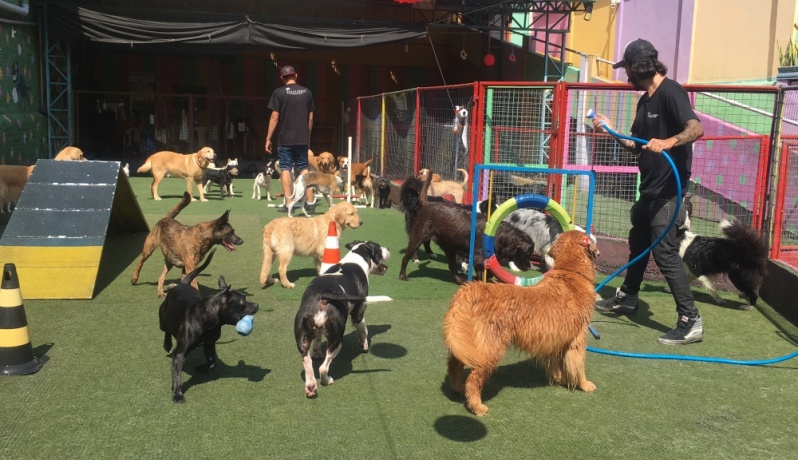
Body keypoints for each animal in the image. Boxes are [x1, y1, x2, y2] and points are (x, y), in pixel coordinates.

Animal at [160, 250, 262, 404]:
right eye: (242, 303)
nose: (257, 305)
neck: (208, 318)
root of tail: (182, 283)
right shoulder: (179, 353)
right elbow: (177, 374)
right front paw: (177, 394)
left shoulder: (209, 343)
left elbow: (212, 362)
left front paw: (202, 367)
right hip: (163, 317)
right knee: (165, 329)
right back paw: (167, 344)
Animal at [296, 239, 390, 398]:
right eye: (378, 247)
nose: (388, 248)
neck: (356, 258)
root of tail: (323, 296)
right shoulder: (359, 312)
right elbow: (363, 330)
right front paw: (364, 346)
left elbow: (317, 340)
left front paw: (317, 352)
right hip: (337, 340)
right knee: (323, 368)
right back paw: (327, 380)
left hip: (303, 340)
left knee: (308, 362)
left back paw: (311, 387)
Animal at [444, 230, 600, 416]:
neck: (570, 271)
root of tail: (473, 289)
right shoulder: (578, 339)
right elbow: (578, 366)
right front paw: (584, 384)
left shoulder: (556, 340)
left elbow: (556, 364)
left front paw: (558, 379)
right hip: (490, 349)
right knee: (473, 378)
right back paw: (477, 406)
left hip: (465, 342)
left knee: (454, 364)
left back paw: (458, 388)